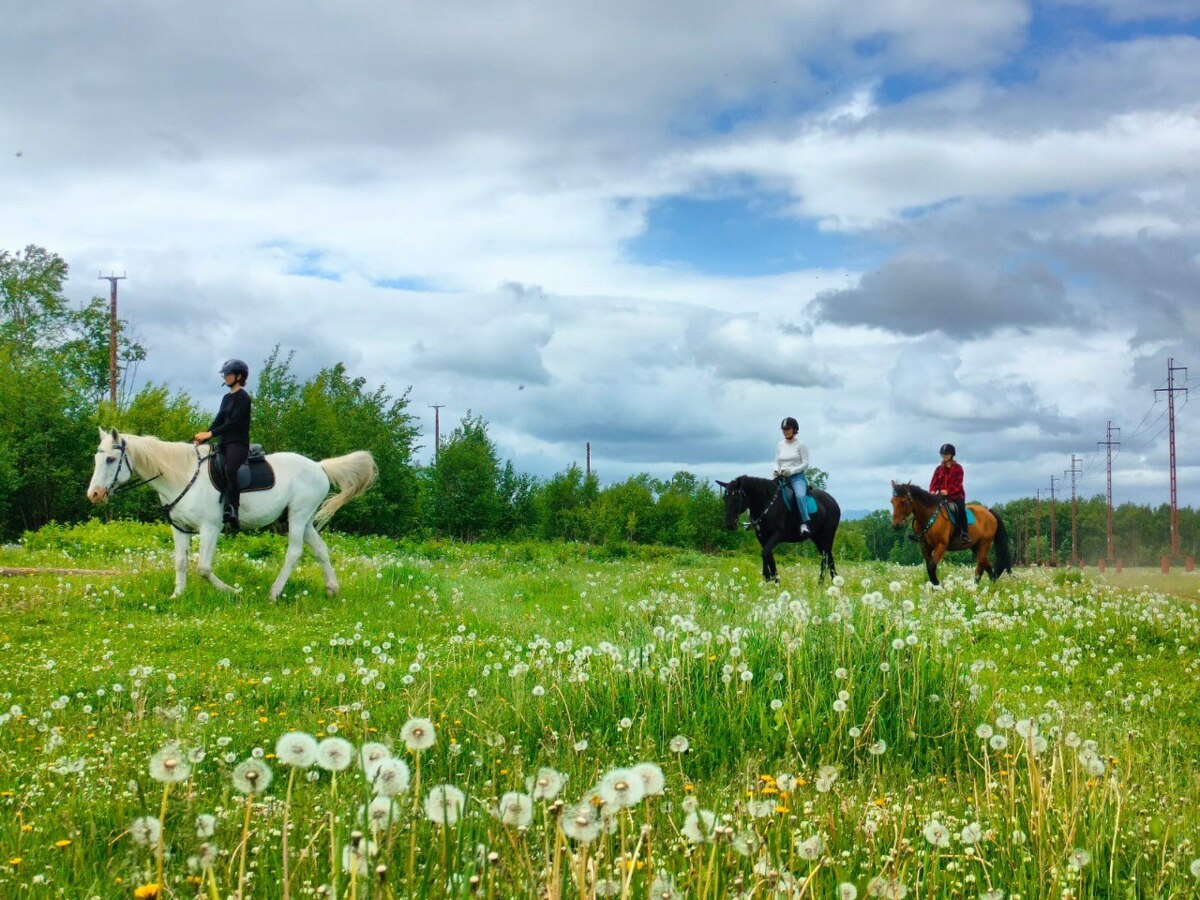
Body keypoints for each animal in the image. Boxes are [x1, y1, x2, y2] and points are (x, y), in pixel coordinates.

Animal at [86, 427, 374, 600]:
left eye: (111, 459)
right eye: (96, 459)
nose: (94, 494)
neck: (183, 475)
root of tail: (319, 466)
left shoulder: (210, 528)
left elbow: (203, 567)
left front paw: (232, 591)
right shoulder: (179, 528)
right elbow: (180, 562)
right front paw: (177, 596)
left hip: (298, 516)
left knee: (294, 553)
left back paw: (274, 593)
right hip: (302, 520)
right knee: (321, 550)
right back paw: (332, 588)